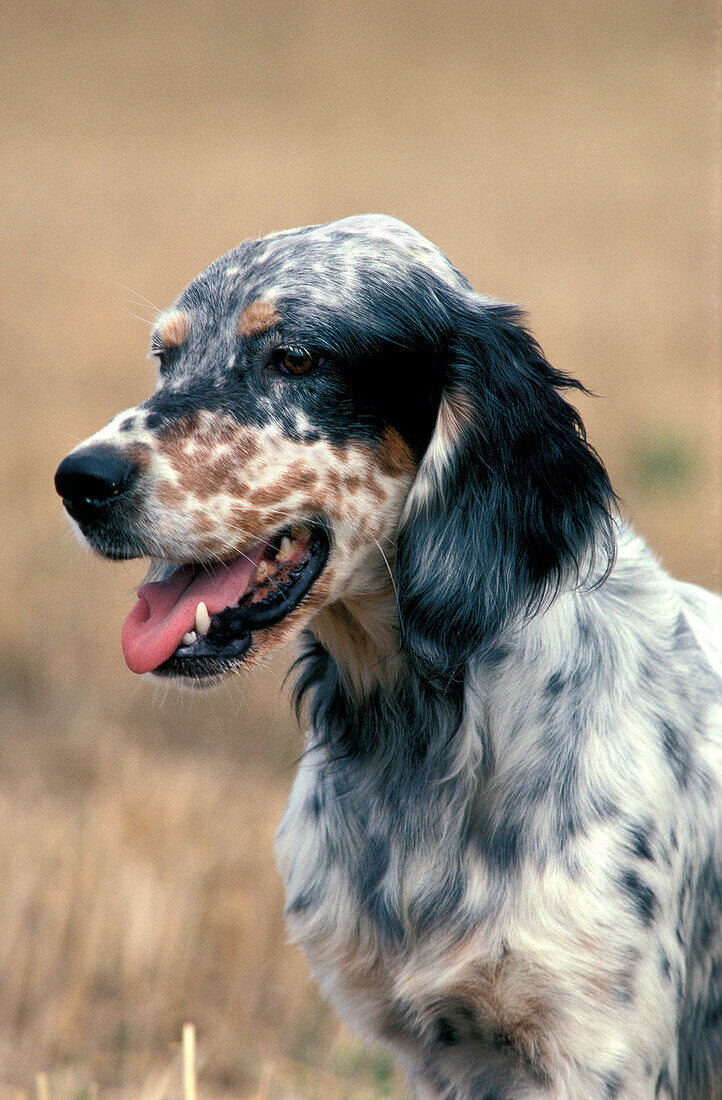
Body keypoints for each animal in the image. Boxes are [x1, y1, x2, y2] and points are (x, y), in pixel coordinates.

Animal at [56, 216, 722, 1100]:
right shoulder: (437, 1055)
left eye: (295, 358)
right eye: (165, 357)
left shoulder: (596, 1051)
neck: (424, 733)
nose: (80, 480)